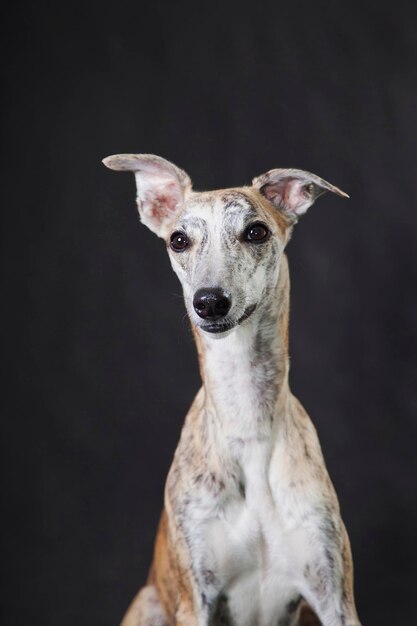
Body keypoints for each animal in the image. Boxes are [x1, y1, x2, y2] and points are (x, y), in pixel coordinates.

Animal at [102, 154, 360, 624]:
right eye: (178, 240)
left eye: (256, 231)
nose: (209, 302)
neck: (248, 422)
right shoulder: (196, 597)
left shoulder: (334, 596)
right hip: (149, 604)